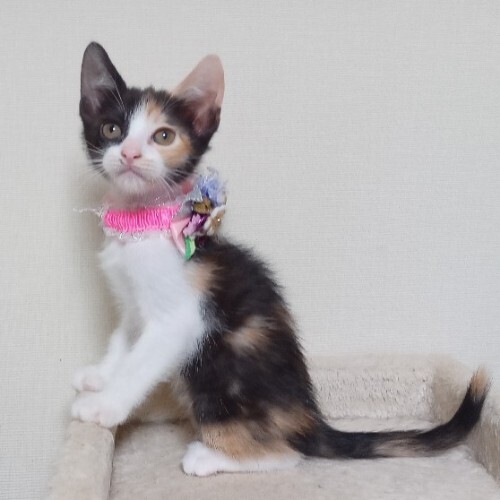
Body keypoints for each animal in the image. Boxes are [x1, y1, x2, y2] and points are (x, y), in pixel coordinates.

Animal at [72, 42, 489, 477]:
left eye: (164, 136)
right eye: (112, 130)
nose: (130, 154)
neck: (141, 224)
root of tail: (309, 419)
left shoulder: (180, 318)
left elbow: (139, 364)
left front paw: (104, 405)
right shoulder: (132, 305)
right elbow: (123, 340)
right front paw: (99, 376)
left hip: (217, 366)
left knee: (287, 454)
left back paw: (209, 456)